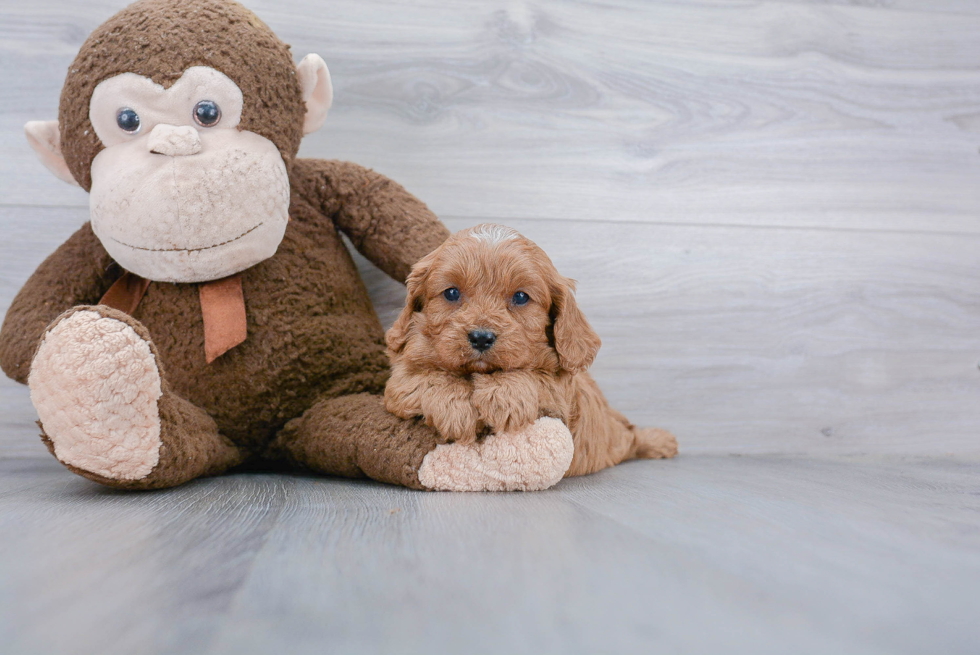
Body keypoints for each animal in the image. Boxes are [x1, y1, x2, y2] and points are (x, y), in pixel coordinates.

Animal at [382, 222, 672, 476]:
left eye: (521, 297)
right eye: (451, 293)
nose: (481, 337)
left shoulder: (563, 396)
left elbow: (535, 376)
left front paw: (502, 395)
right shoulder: (400, 381)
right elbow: (427, 377)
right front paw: (455, 409)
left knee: (631, 435)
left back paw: (660, 441)